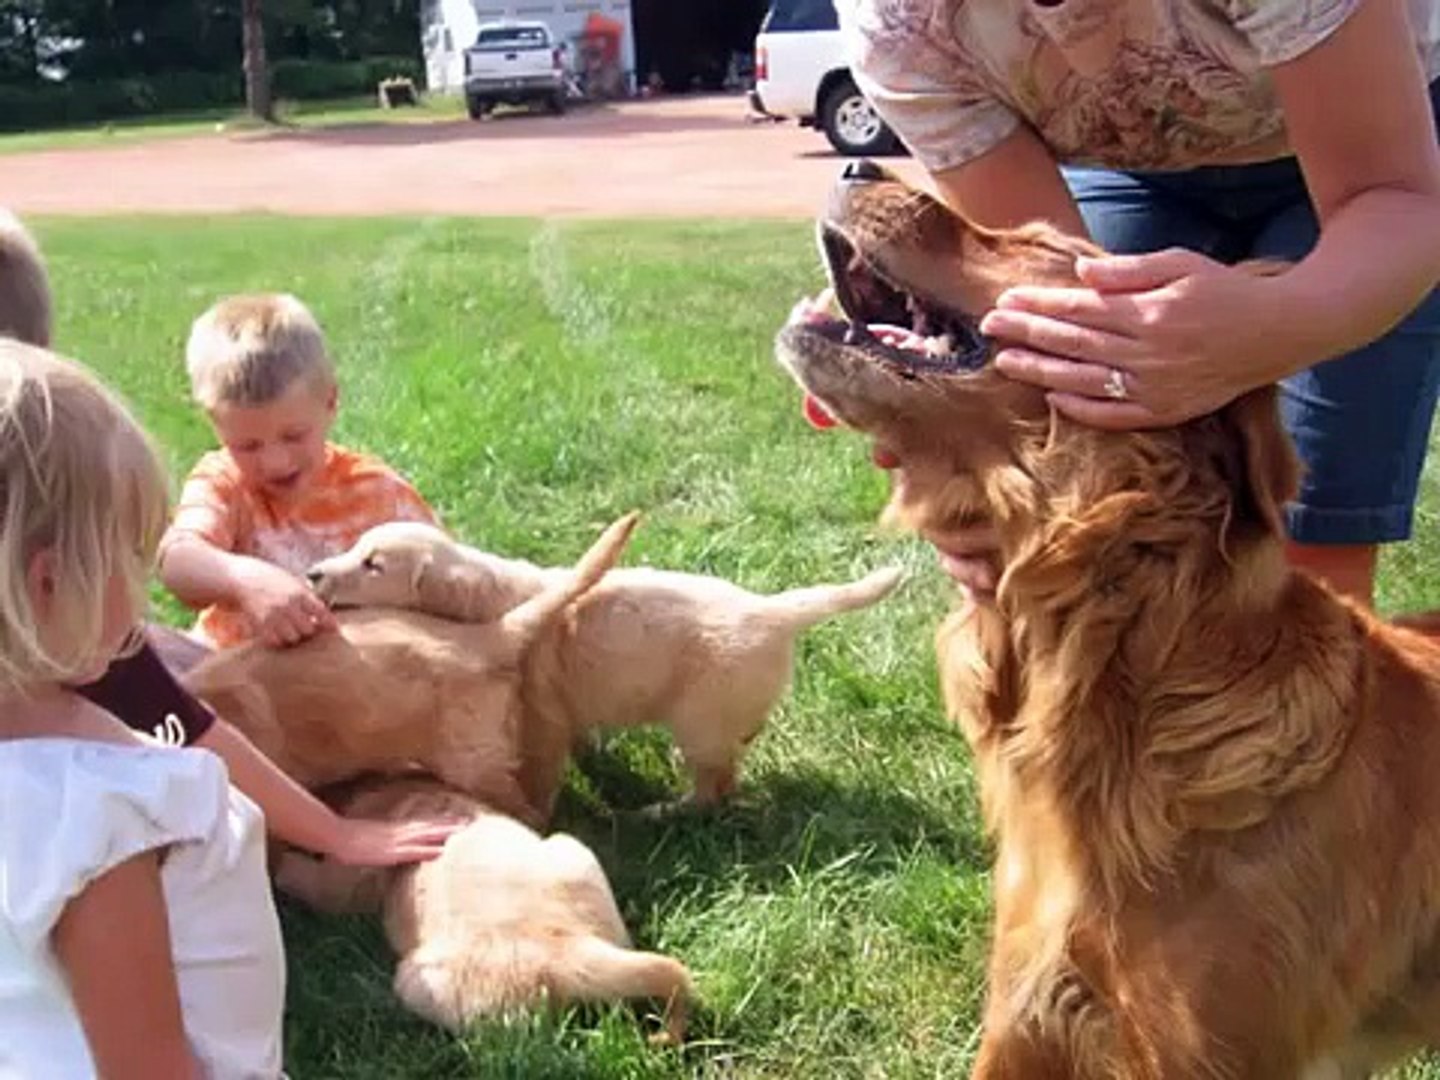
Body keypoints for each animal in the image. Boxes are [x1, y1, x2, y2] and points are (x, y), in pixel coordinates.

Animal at [276, 777, 696, 1048]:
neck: (415, 796)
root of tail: (567, 949)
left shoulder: (345, 877)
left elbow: (314, 880)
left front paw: (280, 864)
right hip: (573, 852)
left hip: (417, 979)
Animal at [311, 521, 904, 817]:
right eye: (355, 546)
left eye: (373, 564)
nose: (314, 573)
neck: (492, 601)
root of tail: (772, 610)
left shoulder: (541, 718)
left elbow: (541, 771)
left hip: (700, 720)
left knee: (715, 786)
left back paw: (664, 811)